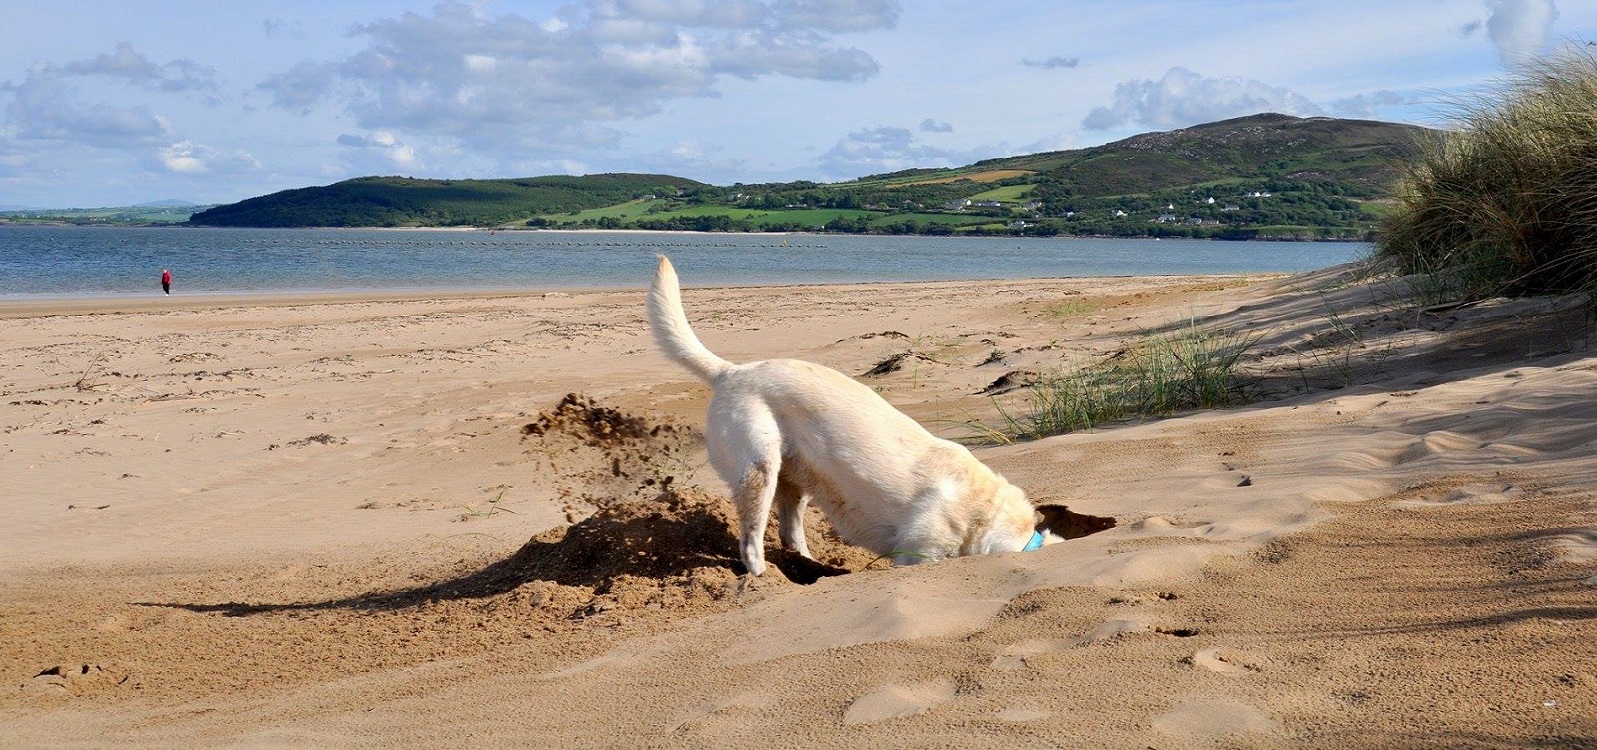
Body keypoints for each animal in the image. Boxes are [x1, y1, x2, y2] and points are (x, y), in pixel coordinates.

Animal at [648, 255, 1098, 577]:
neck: (984, 515)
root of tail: (732, 371)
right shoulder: (916, 556)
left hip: (796, 476)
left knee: (790, 532)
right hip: (759, 467)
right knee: (751, 539)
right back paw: (762, 575)